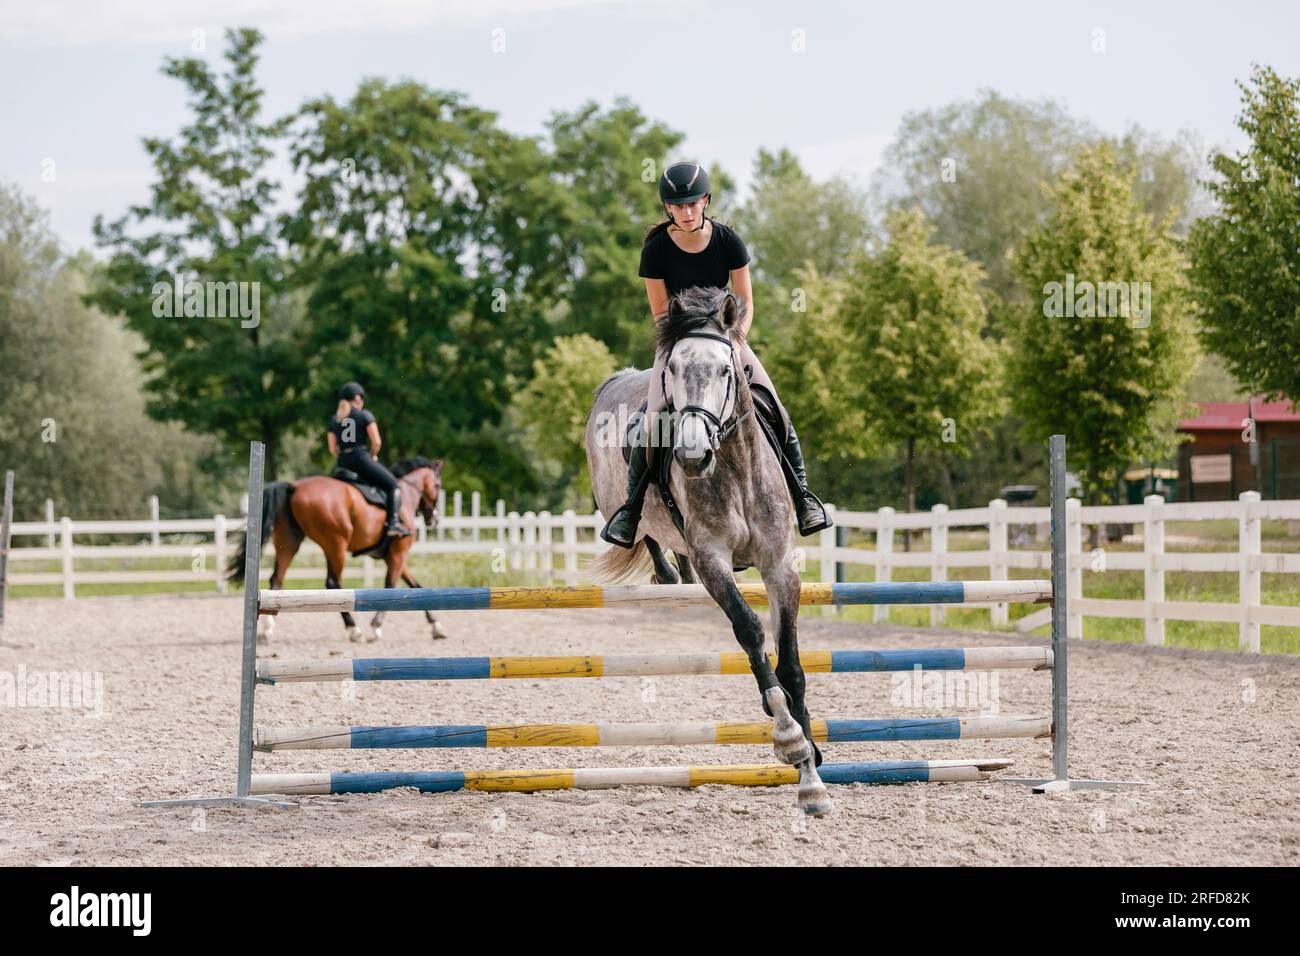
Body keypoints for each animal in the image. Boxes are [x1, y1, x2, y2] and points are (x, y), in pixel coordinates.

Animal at [224, 455, 447, 642]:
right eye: (437, 484)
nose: (434, 519)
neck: (406, 494)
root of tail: (295, 487)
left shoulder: (394, 556)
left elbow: (416, 586)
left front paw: (436, 626)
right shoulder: (398, 554)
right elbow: (392, 586)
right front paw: (376, 627)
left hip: (290, 543)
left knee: (277, 579)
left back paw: (267, 629)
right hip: (336, 545)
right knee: (333, 583)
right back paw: (353, 629)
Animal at [582, 286, 826, 816]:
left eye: (726, 371)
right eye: (673, 369)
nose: (693, 456)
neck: (734, 467)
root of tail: (616, 380)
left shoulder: (780, 566)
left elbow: (792, 664)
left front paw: (812, 769)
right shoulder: (716, 560)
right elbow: (750, 631)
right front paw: (789, 738)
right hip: (621, 507)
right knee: (646, 536)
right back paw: (667, 575)